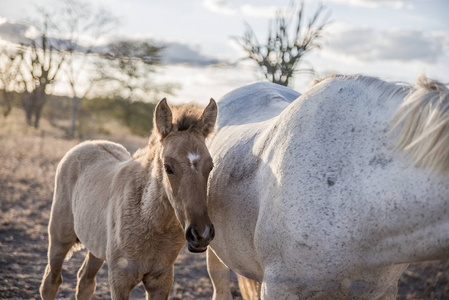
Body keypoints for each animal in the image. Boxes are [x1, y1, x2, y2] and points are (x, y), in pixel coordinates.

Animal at [39, 98, 218, 298]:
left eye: (210, 166)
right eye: (168, 167)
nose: (201, 234)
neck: (149, 221)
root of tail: (90, 143)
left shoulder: (161, 279)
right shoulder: (120, 279)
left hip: (96, 246)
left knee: (85, 281)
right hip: (59, 239)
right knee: (51, 281)